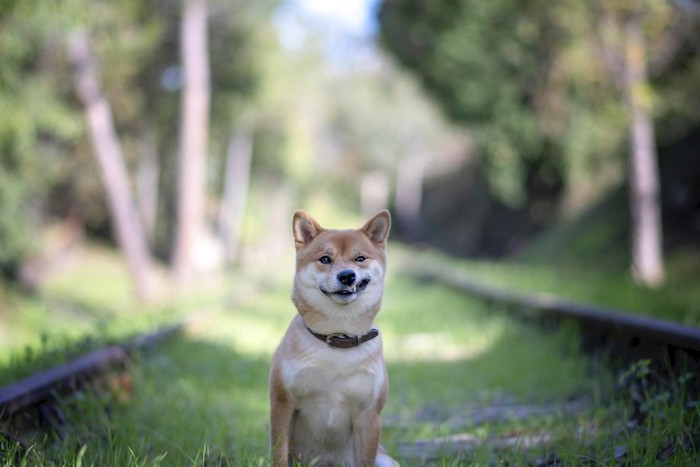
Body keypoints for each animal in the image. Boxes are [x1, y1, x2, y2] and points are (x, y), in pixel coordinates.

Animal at [270, 211, 400, 467]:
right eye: (325, 259)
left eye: (360, 258)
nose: (347, 275)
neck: (339, 338)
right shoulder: (282, 403)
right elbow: (279, 454)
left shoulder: (369, 416)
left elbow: (365, 460)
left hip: (387, 461)